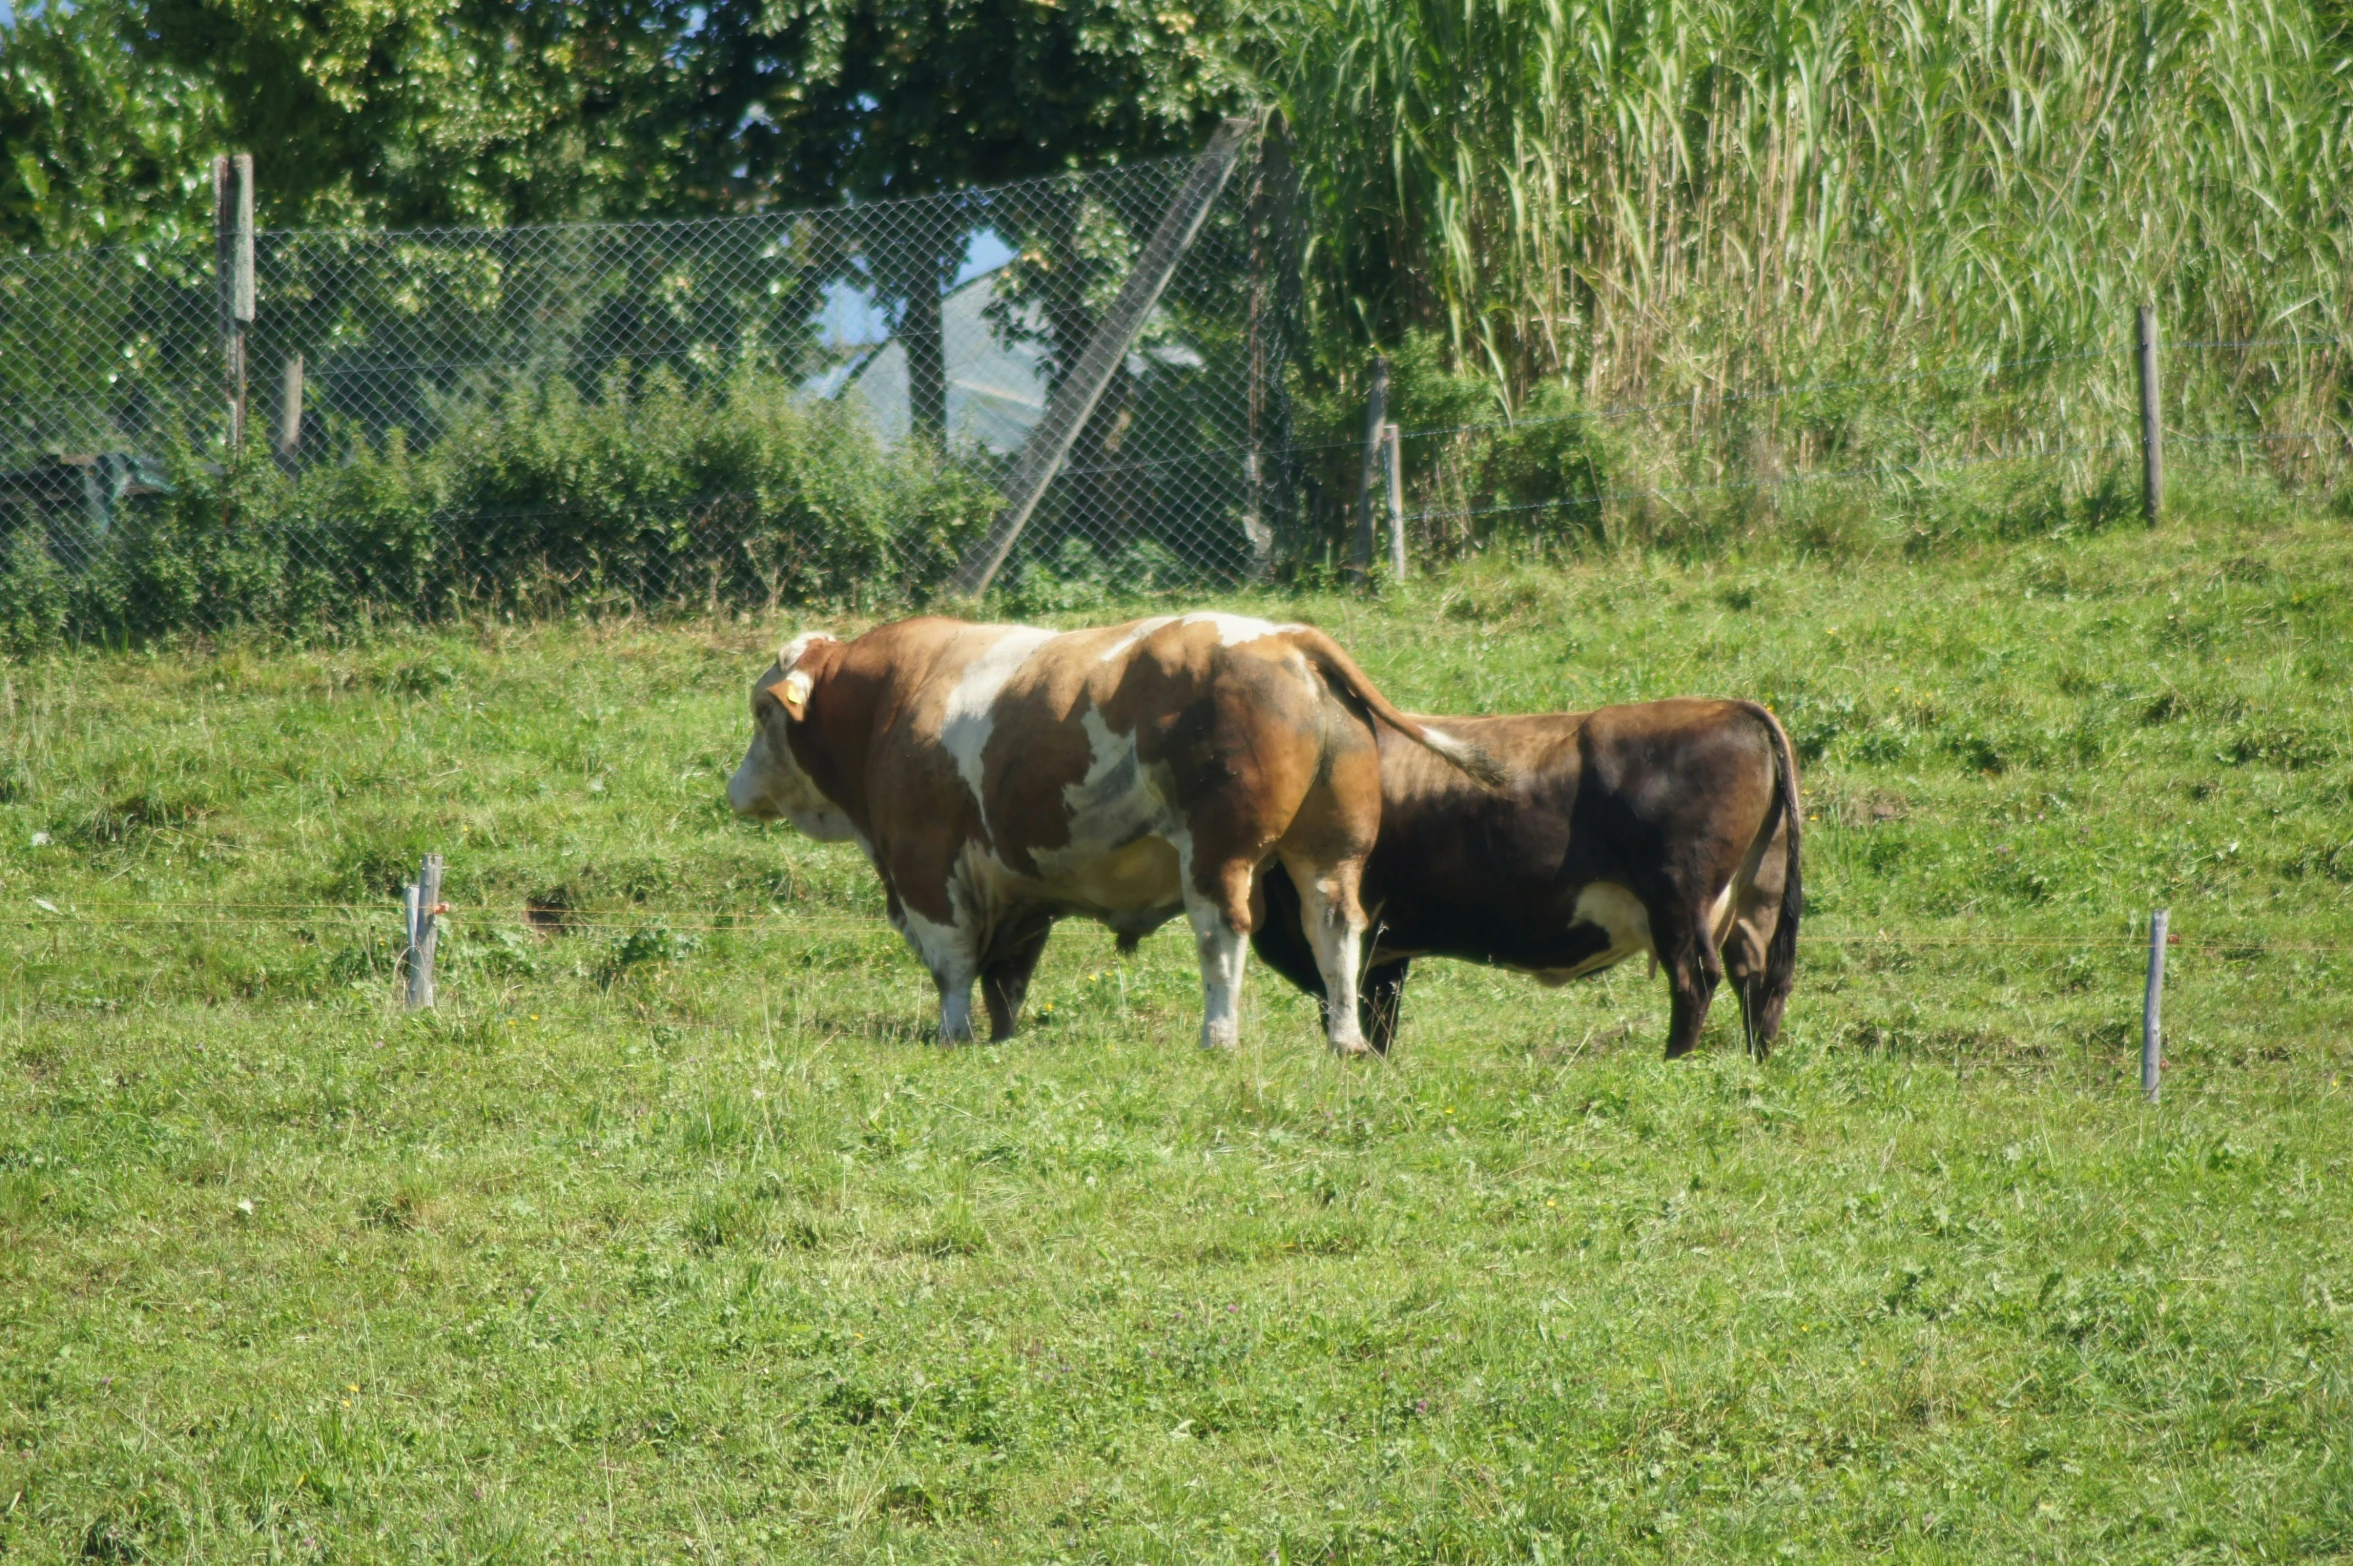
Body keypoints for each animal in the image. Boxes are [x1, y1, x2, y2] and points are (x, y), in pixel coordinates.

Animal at [720, 611, 1505, 1048]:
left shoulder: (924, 865)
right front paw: (998, 1038)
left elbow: (952, 964)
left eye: (761, 712)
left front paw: (952, 1035)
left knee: (1222, 936)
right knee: (1336, 931)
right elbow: (1007, 974)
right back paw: (1345, 1040)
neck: (891, 698)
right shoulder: (1016, 884)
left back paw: (1218, 1036)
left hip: (1217, 854)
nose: (734, 788)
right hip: (1331, 850)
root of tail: (1284, 638)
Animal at [1251, 696, 1797, 1053]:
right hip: (1754, 898)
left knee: (1696, 979)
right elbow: (1379, 1020)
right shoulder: (1387, 950)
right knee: (1757, 978)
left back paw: (1675, 1061)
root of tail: (1729, 707)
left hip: (1680, 899)